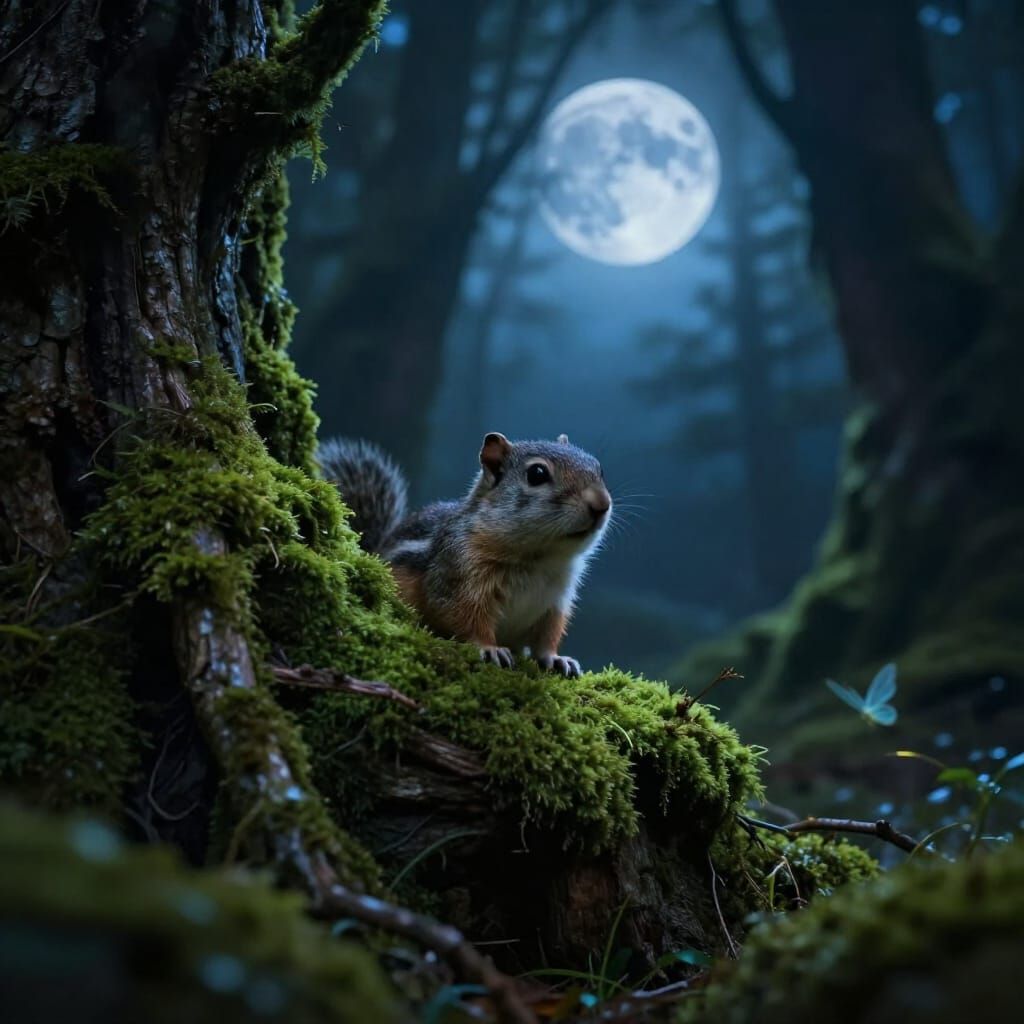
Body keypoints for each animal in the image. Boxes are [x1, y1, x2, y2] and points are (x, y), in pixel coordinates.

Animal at [318, 432, 612, 678]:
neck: (537, 558)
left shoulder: (555, 602)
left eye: (599, 468)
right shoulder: (459, 575)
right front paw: (490, 648)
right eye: (537, 474)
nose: (602, 504)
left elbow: (547, 636)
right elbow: (466, 618)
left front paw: (555, 658)